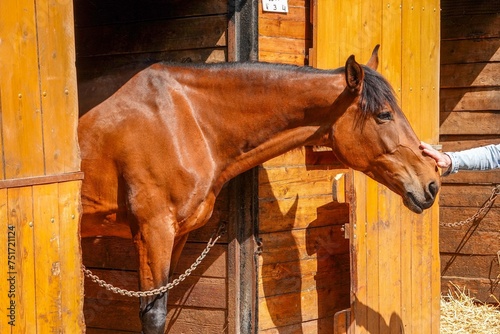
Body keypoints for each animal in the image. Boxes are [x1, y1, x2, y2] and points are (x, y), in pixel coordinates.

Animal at [77, 45, 438, 332]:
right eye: (384, 115)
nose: (431, 183)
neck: (184, 120)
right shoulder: (153, 232)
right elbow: (152, 315)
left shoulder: (176, 236)